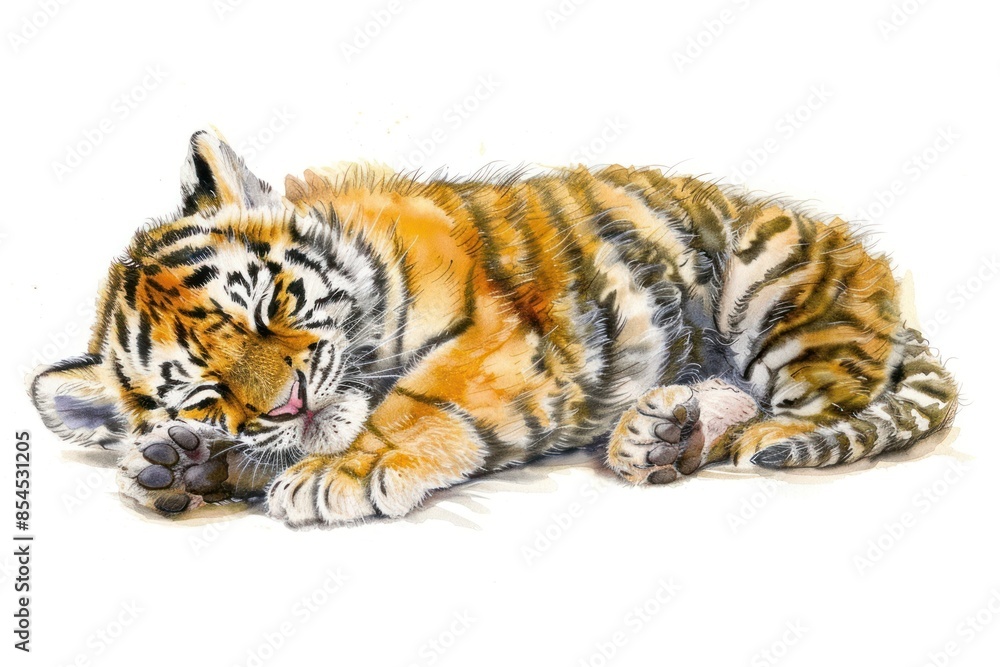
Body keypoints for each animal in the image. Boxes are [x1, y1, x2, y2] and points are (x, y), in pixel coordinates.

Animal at [28, 130, 958, 526]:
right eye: (205, 390)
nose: (290, 404)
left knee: (817, 398)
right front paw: (179, 462)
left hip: (768, 288)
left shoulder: (499, 333)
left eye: (270, 307)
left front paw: (339, 472)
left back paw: (747, 435)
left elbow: (413, 403)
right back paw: (659, 436)